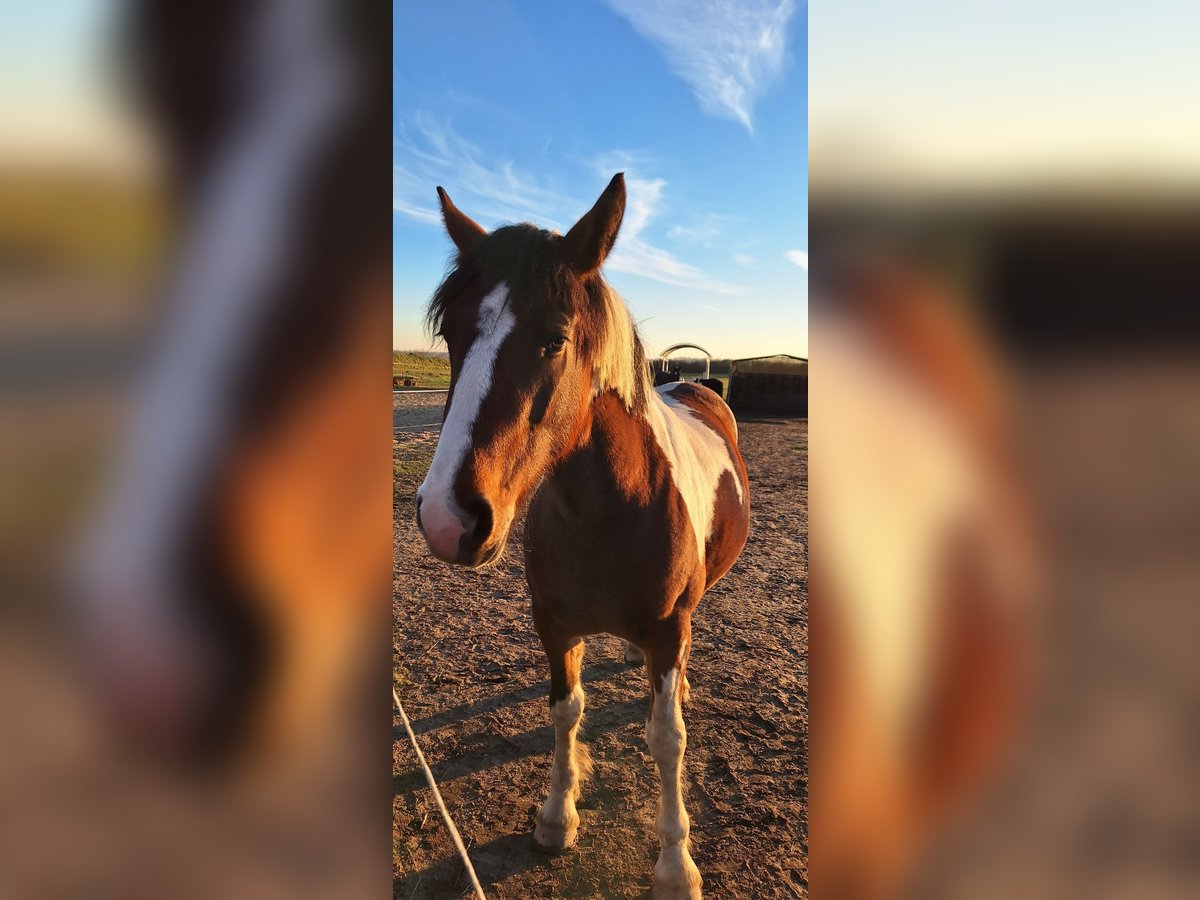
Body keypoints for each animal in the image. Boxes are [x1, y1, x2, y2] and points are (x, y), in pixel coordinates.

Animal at [417, 172, 744, 897]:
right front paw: (555, 818)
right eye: (452, 334)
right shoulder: (554, 625)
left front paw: (676, 866)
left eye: (554, 339)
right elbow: (565, 710)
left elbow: (666, 739)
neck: (611, 517)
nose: (448, 519)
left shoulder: (668, 631)